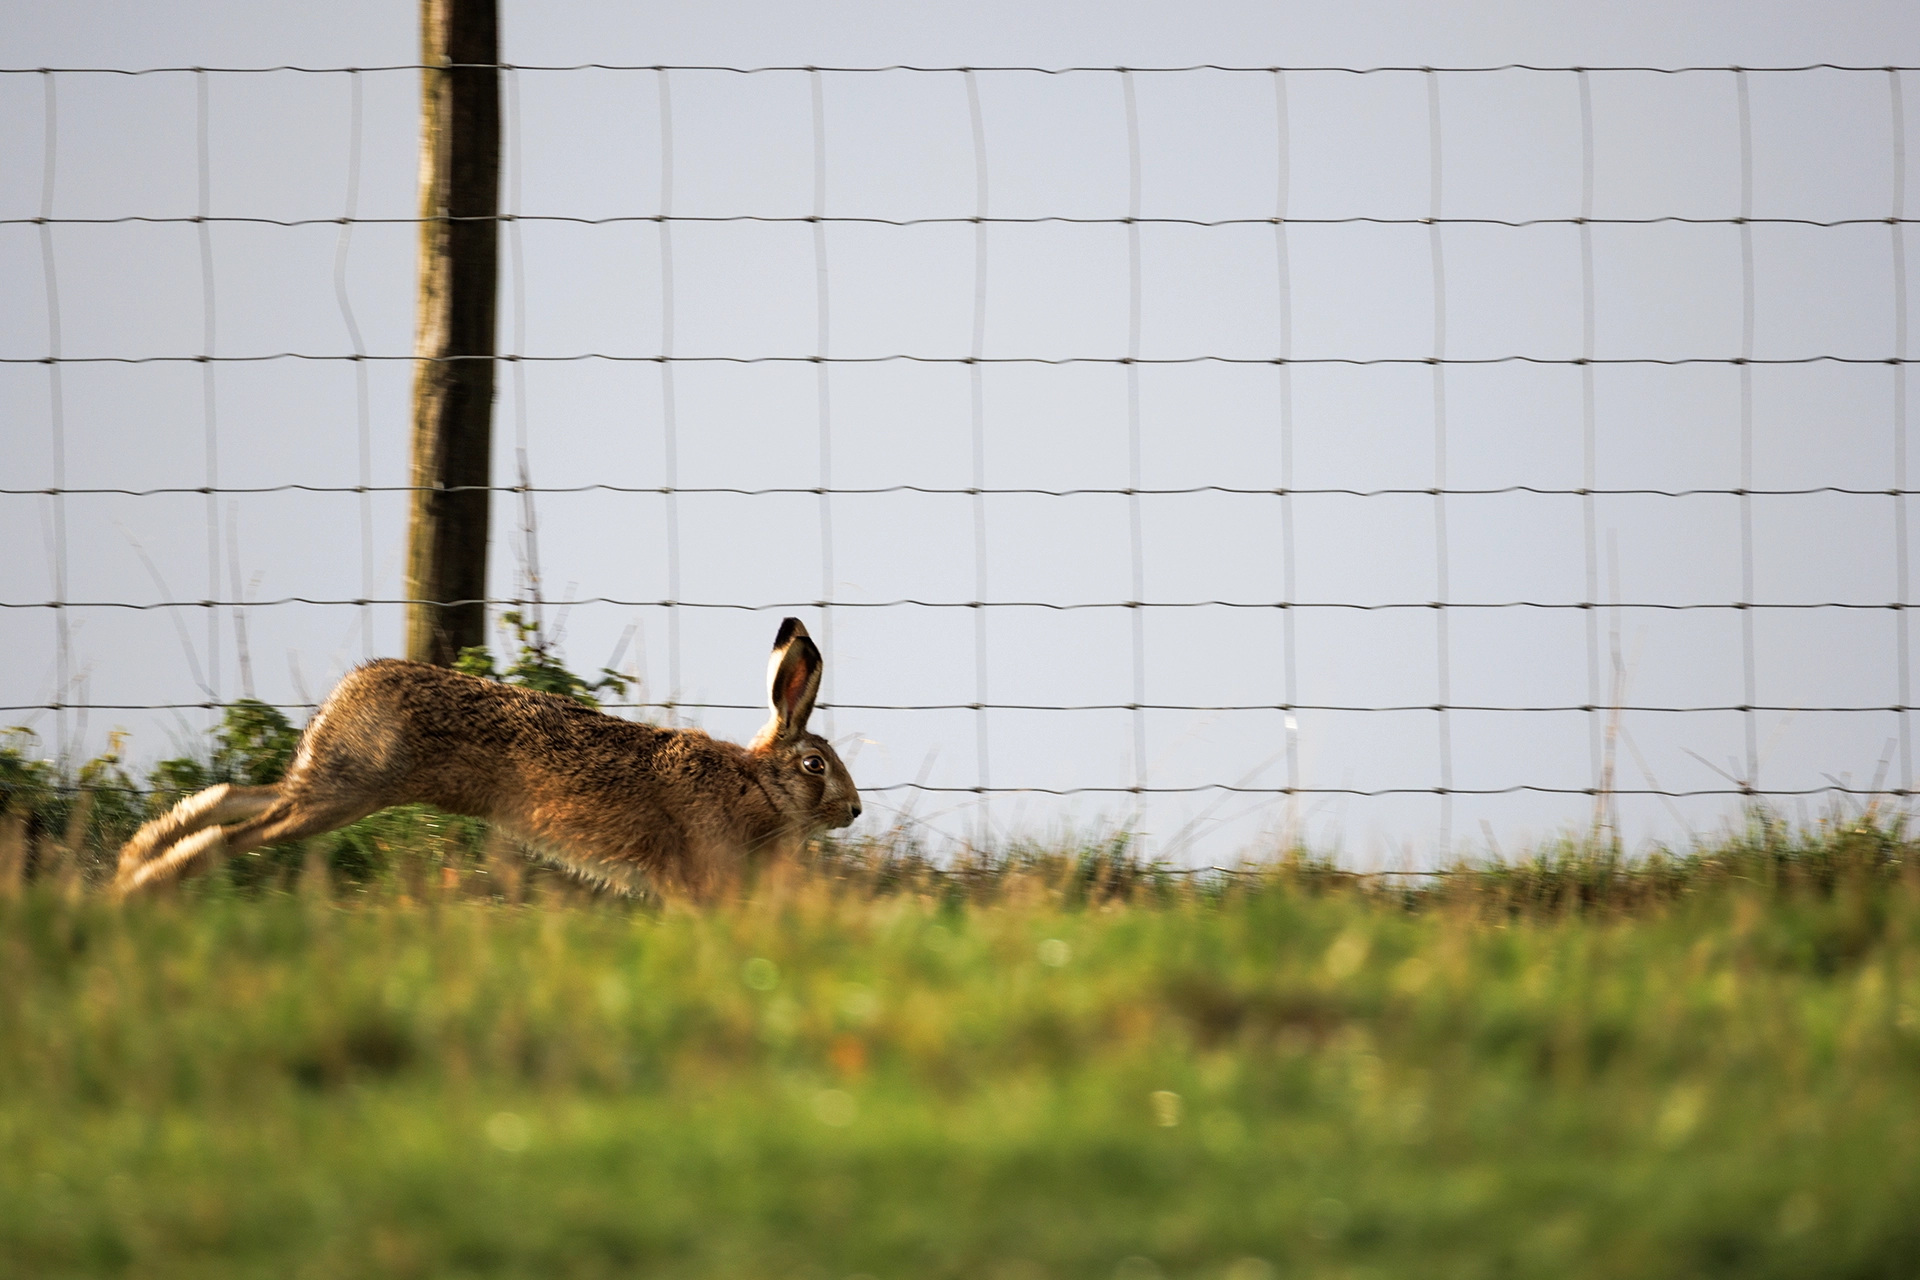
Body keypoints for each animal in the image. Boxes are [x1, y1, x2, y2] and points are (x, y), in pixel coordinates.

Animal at [113, 617, 860, 897]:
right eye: (815, 766)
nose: (854, 810)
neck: (758, 784)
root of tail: (348, 691)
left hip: (331, 785)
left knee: (231, 798)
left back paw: (133, 862)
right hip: (346, 793)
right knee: (242, 832)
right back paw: (147, 884)